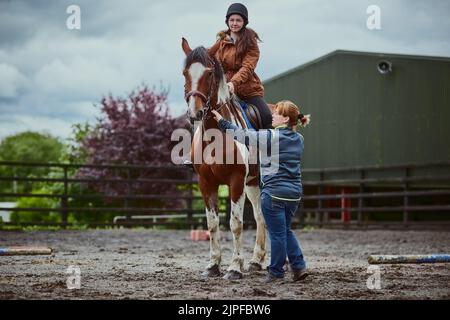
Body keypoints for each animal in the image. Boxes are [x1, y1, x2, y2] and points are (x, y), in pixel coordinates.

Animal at [180, 37, 266, 280]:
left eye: (209, 73)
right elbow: (212, 224)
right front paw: (213, 266)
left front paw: (235, 267)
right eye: (185, 73)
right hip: (251, 184)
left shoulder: (235, 182)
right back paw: (255, 262)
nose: (195, 113)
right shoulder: (206, 183)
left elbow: (235, 223)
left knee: (263, 217)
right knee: (260, 217)